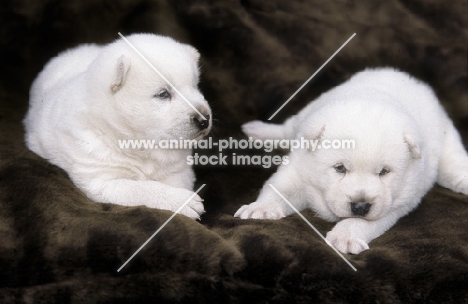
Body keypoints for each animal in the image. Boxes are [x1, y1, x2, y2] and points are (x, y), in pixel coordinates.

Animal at [23, 32, 210, 218]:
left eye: (195, 87)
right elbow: (141, 189)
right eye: (163, 94)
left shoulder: (180, 170)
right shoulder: (103, 179)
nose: (205, 119)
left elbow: (174, 180)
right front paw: (183, 201)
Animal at [236, 67, 468, 253]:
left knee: (454, 166)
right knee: (286, 129)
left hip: (447, 142)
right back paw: (257, 130)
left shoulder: (397, 202)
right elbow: (280, 188)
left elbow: (363, 222)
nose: (361, 206)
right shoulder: (299, 169)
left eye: (384, 172)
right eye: (340, 168)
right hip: (305, 115)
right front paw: (261, 208)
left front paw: (345, 237)